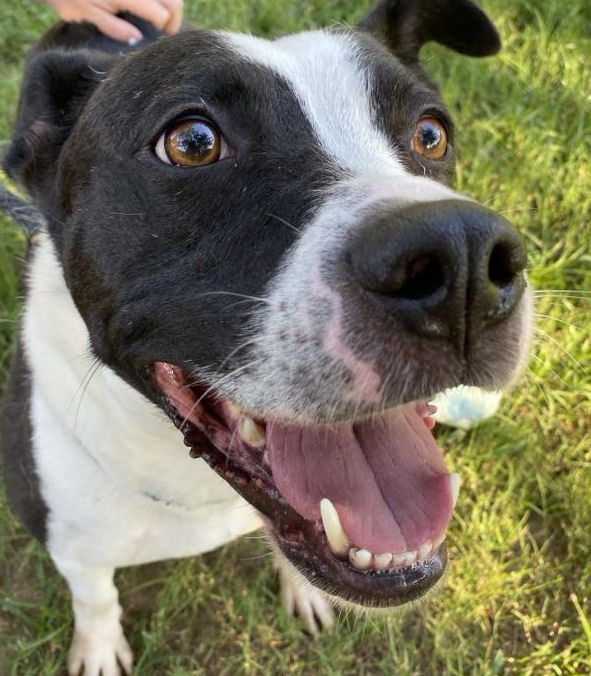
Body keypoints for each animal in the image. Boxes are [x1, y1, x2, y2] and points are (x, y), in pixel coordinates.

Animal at [2, 1, 536, 672]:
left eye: (431, 133)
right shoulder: (75, 546)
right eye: (193, 143)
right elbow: (96, 598)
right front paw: (98, 648)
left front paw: (304, 592)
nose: (464, 260)